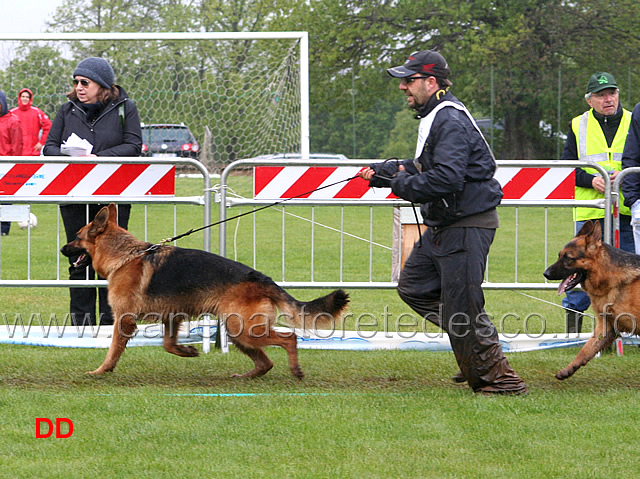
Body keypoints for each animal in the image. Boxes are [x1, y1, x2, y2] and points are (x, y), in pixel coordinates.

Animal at [60, 204, 350, 380]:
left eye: (76, 236)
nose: (62, 249)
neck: (125, 256)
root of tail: (261, 278)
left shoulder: (125, 320)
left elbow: (113, 350)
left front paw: (101, 370)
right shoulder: (172, 317)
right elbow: (168, 344)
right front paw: (187, 351)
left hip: (244, 329)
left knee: (289, 338)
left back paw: (295, 369)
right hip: (237, 332)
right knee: (265, 363)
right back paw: (246, 377)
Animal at [544, 219, 640, 380]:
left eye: (568, 258)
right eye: (559, 255)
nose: (546, 273)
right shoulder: (606, 326)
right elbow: (586, 349)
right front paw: (568, 369)